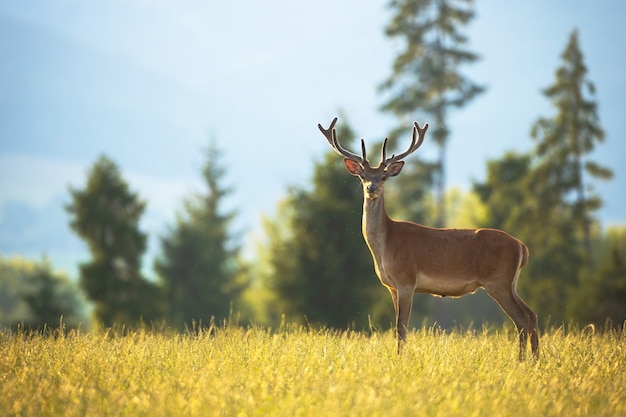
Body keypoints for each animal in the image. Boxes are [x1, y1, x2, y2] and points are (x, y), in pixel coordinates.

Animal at [316, 116, 536, 358]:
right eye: (362, 176)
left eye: (383, 176)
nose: (372, 188)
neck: (385, 246)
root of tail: (522, 247)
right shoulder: (391, 286)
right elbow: (397, 325)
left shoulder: (406, 279)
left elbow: (401, 326)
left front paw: (400, 358)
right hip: (510, 282)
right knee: (531, 315)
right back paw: (534, 359)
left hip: (498, 280)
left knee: (521, 318)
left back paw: (522, 360)